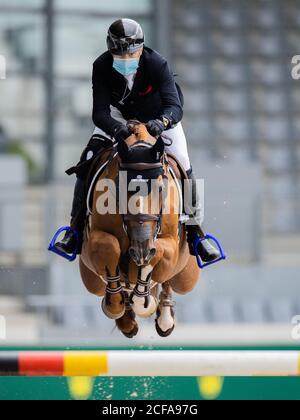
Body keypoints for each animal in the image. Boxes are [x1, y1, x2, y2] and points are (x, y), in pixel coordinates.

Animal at [79, 121, 202, 338]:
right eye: (120, 187)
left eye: (160, 188)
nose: (140, 249)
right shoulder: (96, 239)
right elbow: (110, 246)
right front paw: (117, 306)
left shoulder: (169, 243)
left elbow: (157, 252)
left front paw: (143, 302)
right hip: (91, 279)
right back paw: (126, 318)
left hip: (186, 276)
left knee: (169, 282)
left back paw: (164, 317)